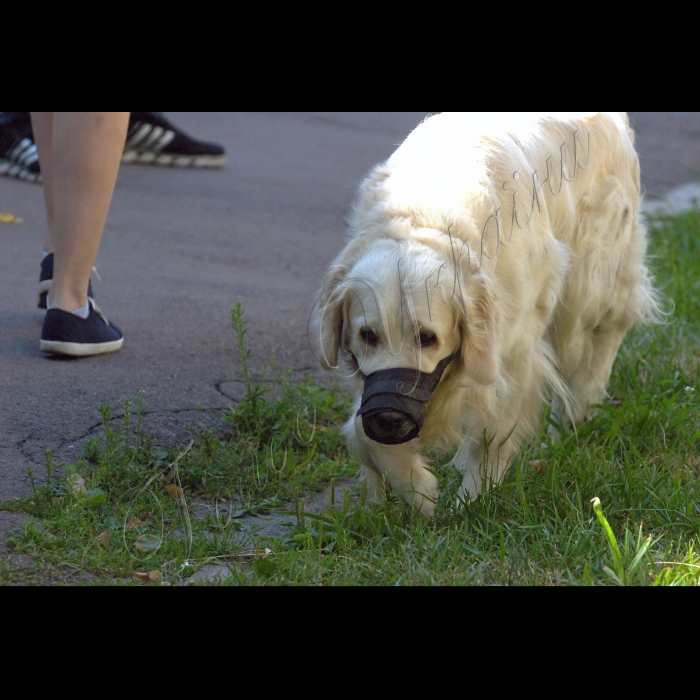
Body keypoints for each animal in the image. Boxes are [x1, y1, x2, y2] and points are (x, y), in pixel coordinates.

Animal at [308, 112, 664, 516]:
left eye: (427, 338)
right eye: (368, 335)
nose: (389, 418)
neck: (425, 216)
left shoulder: (511, 352)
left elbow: (492, 433)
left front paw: (472, 498)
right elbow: (363, 433)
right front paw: (416, 489)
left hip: (591, 276)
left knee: (607, 326)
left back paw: (576, 411)